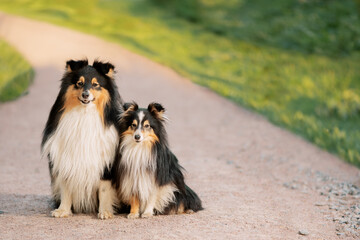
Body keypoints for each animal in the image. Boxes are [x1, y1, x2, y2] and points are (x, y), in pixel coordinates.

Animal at [41, 59, 121, 218]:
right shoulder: (66, 159)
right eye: (79, 83)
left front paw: (105, 212)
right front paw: (63, 210)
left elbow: (104, 189)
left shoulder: (106, 164)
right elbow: (66, 186)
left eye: (96, 84)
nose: (85, 95)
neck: (84, 114)